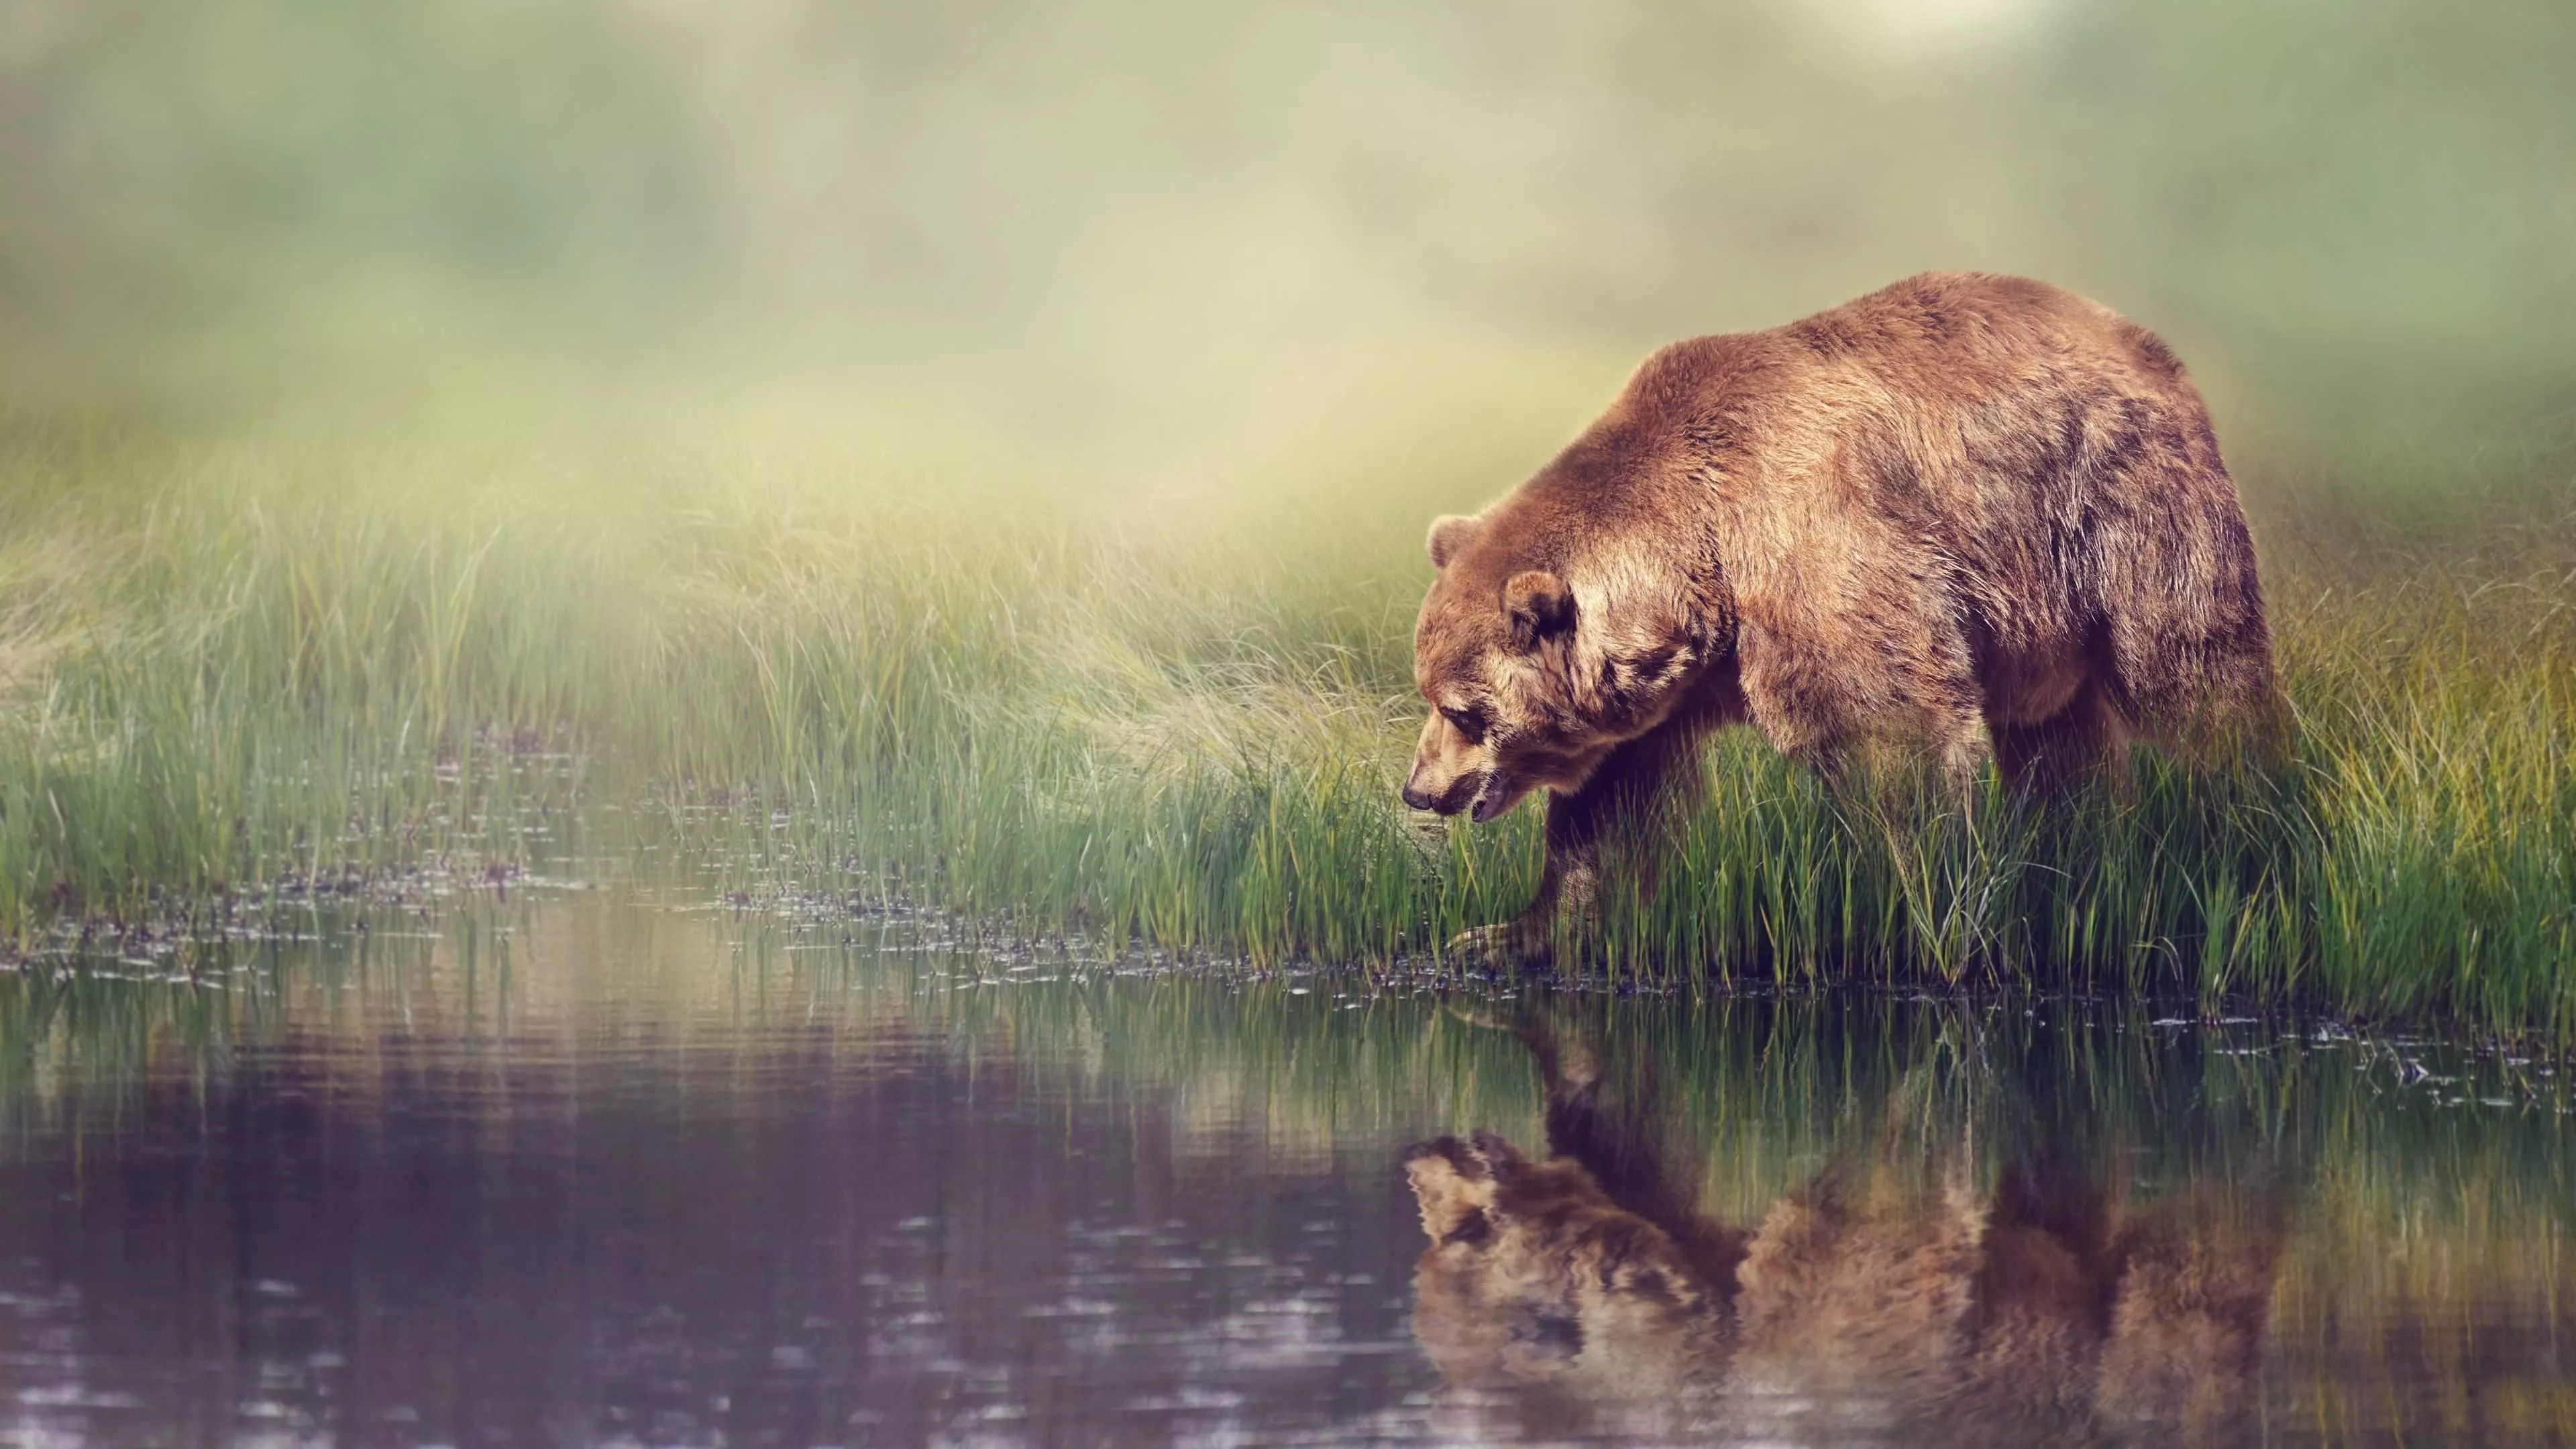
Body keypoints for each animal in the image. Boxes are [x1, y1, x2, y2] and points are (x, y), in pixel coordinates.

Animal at [1401, 271, 2287, 964]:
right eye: (1429, 693)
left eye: (1464, 711)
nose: (1420, 789)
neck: (1700, 572)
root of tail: (2142, 338)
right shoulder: (1669, 694)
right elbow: (1610, 815)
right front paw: (1504, 935)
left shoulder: (1820, 551)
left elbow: (1894, 736)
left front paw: (1910, 908)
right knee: (2058, 740)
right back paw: (2079, 855)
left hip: (2121, 510)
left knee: (2195, 683)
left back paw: (2240, 826)